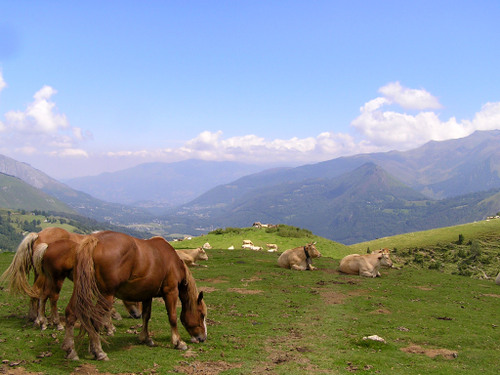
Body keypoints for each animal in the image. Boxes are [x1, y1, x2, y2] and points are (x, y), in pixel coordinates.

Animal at [62, 232, 207, 362]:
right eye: (202, 314)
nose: (203, 338)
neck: (172, 261)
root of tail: (95, 240)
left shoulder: (147, 294)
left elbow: (146, 316)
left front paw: (146, 338)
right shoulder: (171, 291)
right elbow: (172, 317)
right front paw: (178, 342)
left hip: (80, 291)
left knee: (71, 313)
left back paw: (71, 350)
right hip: (105, 295)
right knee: (95, 319)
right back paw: (98, 352)